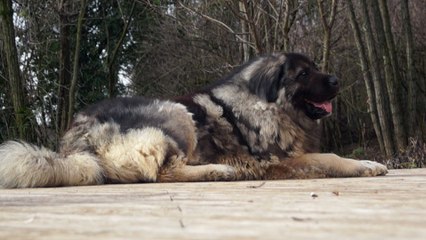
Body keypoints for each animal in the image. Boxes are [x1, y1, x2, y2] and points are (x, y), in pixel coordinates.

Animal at [0, 53, 386, 188]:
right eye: (304, 74)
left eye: (316, 68)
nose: (336, 79)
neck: (268, 105)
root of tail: (76, 143)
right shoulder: (282, 160)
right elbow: (334, 158)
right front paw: (367, 165)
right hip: (177, 114)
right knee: (163, 172)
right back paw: (219, 171)